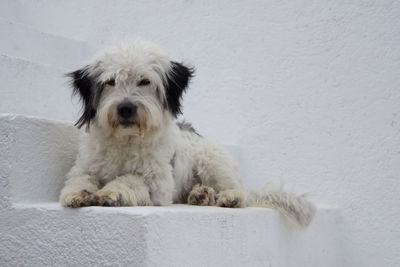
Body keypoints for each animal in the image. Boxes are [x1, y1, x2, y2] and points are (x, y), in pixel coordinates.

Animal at [59, 40, 316, 228]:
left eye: (144, 81)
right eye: (111, 81)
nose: (125, 108)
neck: (127, 140)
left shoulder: (158, 180)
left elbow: (131, 180)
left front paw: (111, 192)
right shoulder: (85, 168)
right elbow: (79, 181)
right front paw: (78, 194)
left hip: (213, 160)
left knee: (239, 191)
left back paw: (228, 197)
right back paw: (200, 195)